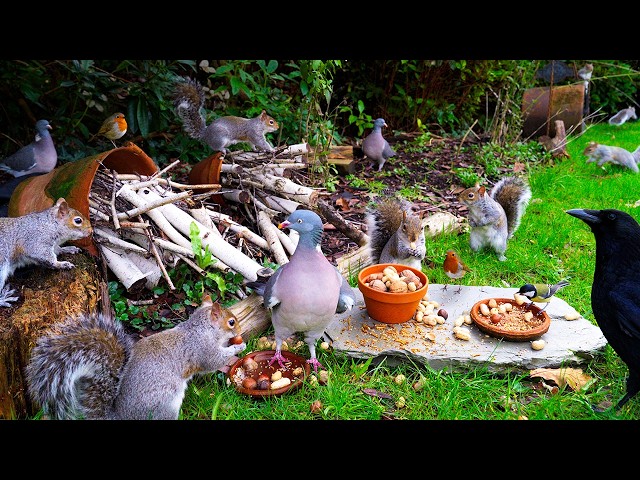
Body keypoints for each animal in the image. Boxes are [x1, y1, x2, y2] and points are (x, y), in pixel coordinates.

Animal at [25, 294, 247, 420]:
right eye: (231, 322)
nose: (240, 331)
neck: (200, 329)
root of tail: (119, 417)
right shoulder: (202, 349)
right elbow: (213, 361)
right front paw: (238, 347)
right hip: (165, 405)